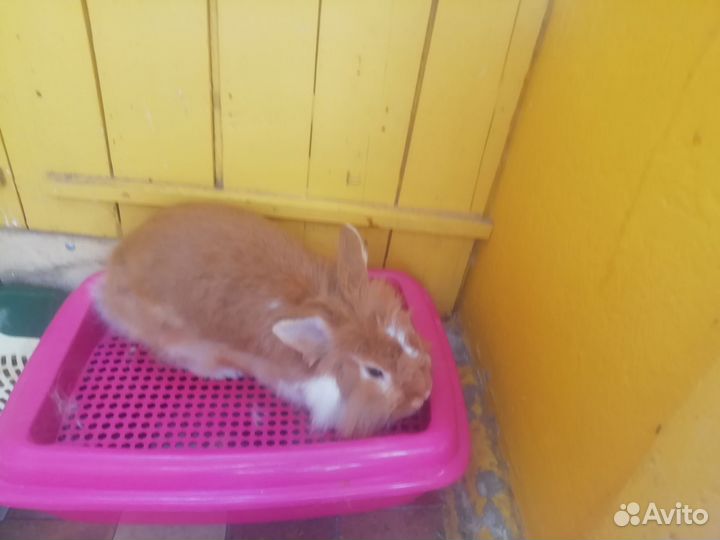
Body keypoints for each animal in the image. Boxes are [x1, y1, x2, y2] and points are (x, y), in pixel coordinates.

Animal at [93, 203, 432, 437]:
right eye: (374, 372)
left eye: (404, 336)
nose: (423, 395)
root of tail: (111, 280)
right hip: (177, 338)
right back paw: (225, 373)